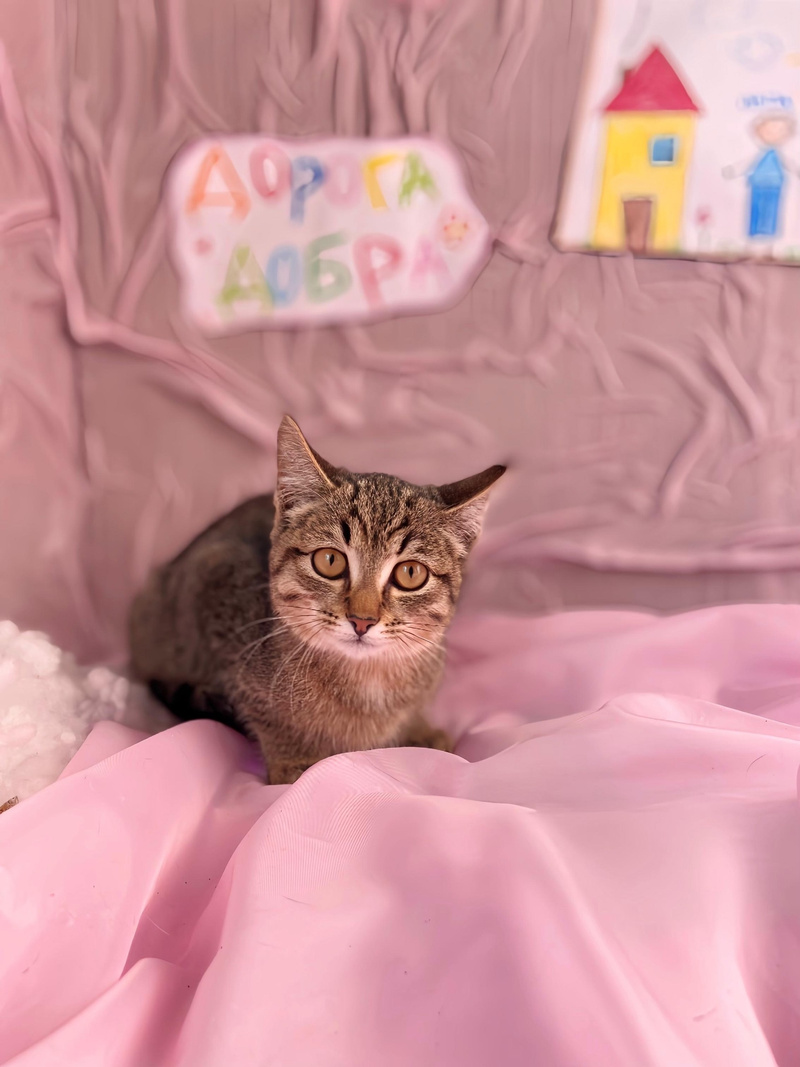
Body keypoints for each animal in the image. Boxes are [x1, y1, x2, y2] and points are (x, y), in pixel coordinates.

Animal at [129, 416, 505, 785]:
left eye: (410, 573)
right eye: (330, 561)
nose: (362, 620)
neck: (365, 686)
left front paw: (420, 730)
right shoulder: (212, 580)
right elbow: (264, 714)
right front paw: (292, 758)